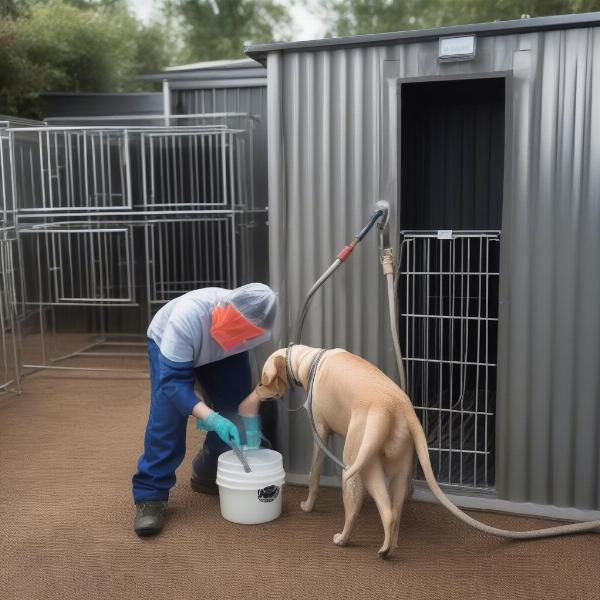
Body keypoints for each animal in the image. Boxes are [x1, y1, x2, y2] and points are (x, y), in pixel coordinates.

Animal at [255, 346, 596, 556]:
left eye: (262, 380)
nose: (254, 394)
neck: (309, 360)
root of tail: (400, 409)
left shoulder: (321, 434)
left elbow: (313, 475)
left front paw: (307, 505)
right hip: (399, 465)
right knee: (394, 510)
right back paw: (389, 547)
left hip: (359, 463)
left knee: (372, 507)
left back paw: (346, 539)